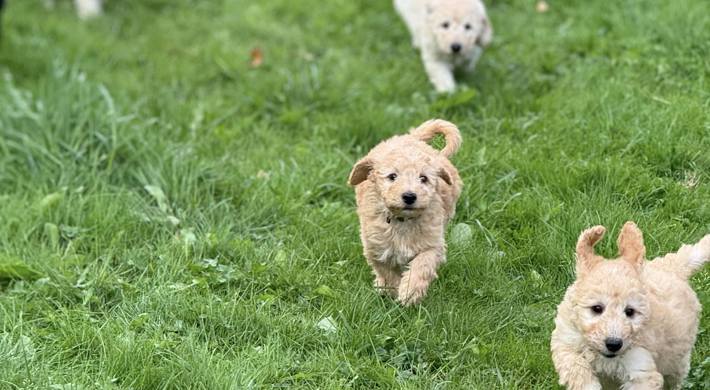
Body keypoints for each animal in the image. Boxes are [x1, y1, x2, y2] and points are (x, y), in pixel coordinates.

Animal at [350, 118, 462, 304]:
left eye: (423, 178)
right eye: (392, 176)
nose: (409, 196)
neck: (402, 220)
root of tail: (410, 137)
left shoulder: (432, 243)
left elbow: (423, 264)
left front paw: (410, 291)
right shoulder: (376, 247)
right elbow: (386, 271)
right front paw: (392, 290)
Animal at [552, 222, 708, 390]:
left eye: (630, 311)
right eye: (597, 308)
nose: (613, 344)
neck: (605, 358)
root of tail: (673, 266)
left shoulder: (641, 368)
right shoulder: (567, 340)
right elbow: (575, 365)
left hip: (677, 362)